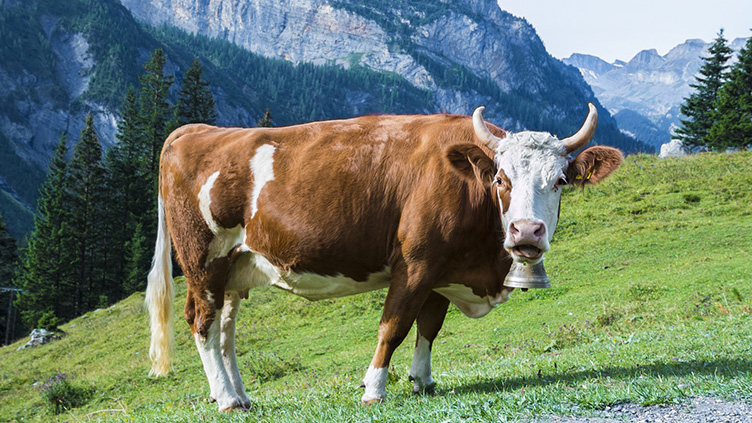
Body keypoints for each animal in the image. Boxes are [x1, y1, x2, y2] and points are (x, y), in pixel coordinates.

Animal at [145, 104, 623, 410]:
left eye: (560, 180)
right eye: (501, 179)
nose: (526, 231)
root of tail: (195, 130)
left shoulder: (441, 271)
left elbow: (429, 327)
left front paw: (423, 381)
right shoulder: (415, 263)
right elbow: (394, 327)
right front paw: (373, 389)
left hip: (236, 267)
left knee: (225, 332)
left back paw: (240, 396)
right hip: (203, 260)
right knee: (202, 324)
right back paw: (226, 399)